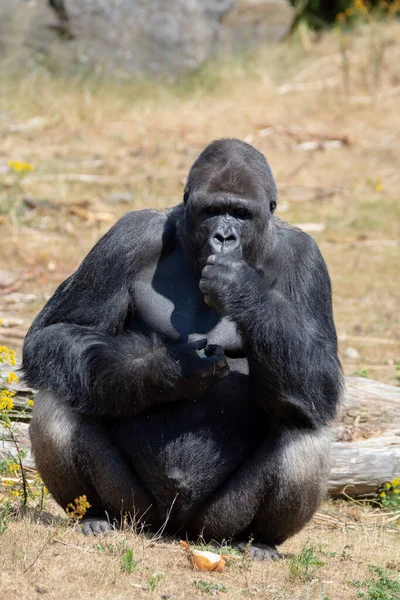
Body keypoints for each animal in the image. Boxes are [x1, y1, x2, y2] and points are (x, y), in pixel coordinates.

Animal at [22, 138, 340, 560]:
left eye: (241, 214)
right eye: (212, 211)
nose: (224, 237)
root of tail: (175, 530)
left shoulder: (306, 258)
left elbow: (321, 379)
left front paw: (243, 290)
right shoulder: (129, 236)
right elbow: (56, 331)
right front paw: (169, 370)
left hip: (215, 525)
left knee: (303, 422)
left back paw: (261, 541)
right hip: (137, 513)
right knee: (61, 392)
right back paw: (93, 515)